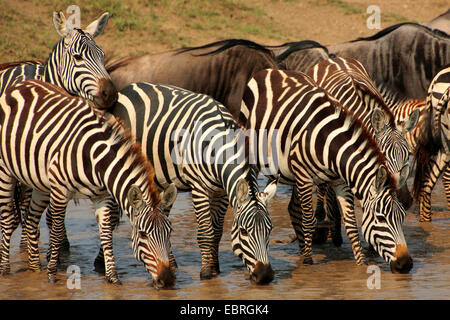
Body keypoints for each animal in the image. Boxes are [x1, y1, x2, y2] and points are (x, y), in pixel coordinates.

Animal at [0, 80, 176, 288]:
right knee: (7, 218)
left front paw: (113, 277)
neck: (98, 163)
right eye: (142, 234)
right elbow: (57, 231)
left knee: (31, 219)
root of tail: (20, 84)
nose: (168, 280)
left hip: (39, 182)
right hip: (6, 171)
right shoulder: (60, 191)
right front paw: (51, 275)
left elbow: (106, 234)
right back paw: (6, 270)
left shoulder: (102, 196)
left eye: (170, 233)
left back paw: (35, 268)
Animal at [108, 83, 278, 284]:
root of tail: (130, 87)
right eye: (244, 231)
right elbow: (206, 233)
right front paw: (205, 272)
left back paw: (171, 264)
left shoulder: (221, 192)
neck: (219, 146)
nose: (265, 276)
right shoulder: (199, 188)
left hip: (161, 180)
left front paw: (215, 267)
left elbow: (217, 232)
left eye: (270, 229)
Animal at [241, 69, 414, 272]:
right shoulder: (304, 176)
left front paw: (361, 264)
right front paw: (308, 263)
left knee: (293, 208)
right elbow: (309, 220)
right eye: (381, 218)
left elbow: (351, 224)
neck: (330, 145)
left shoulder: (340, 181)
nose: (406, 264)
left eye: (402, 216)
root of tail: (269, 70)